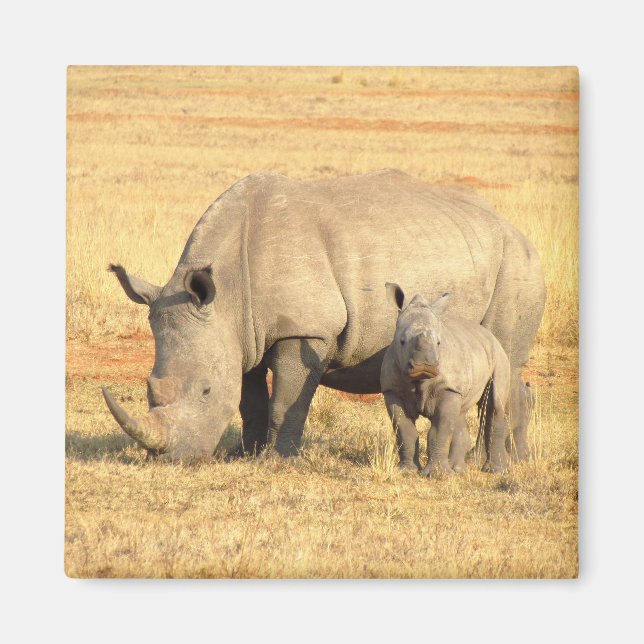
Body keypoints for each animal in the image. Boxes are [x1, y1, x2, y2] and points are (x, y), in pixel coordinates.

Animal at [380, 285, 512, 475]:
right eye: (402, 341)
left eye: (439, 343)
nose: (424, 365)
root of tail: (489, 335)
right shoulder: (392, 390)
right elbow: (405, 431)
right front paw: (406, 471)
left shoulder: (448, 387)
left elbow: (440, 429)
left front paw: (437, 475)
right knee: (460, 414)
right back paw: (458, 470)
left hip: (499, 356)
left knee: (495, 403)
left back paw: (496, 470)